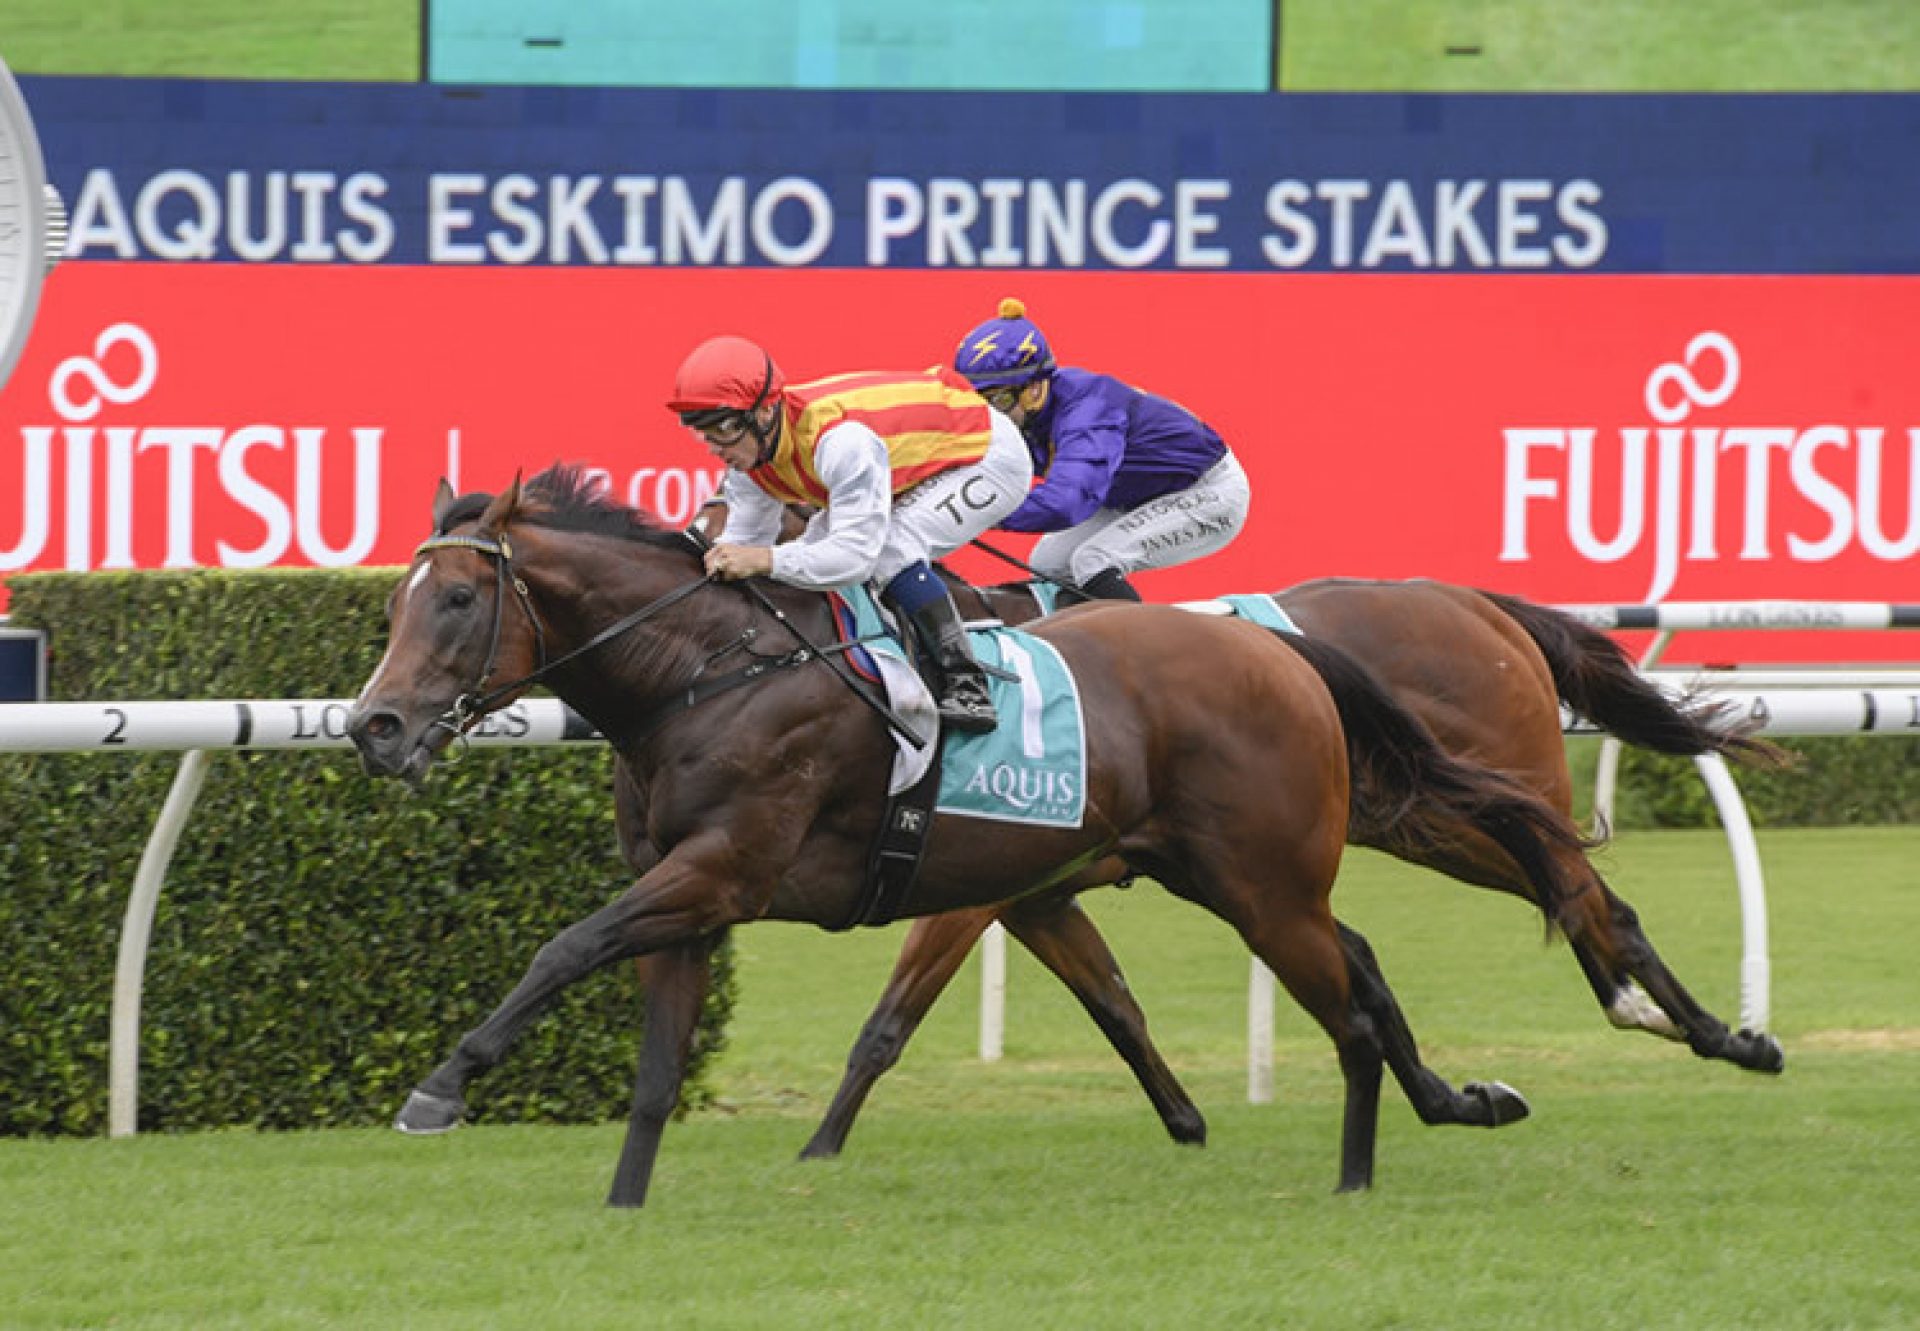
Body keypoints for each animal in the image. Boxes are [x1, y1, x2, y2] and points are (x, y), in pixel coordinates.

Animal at [349, 466, 1589, 1206]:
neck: (710, 673)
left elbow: (568, 945)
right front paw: (625, 1200)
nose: (375, 725)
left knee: (1424, 962)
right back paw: (1456, 1101)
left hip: (1285, 874)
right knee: (1362, 967)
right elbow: (655, 1062)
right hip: (1242, 875)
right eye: (394, 605)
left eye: (456, 601)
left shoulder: (739, 870)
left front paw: (439, 1088)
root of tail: (1279, 650)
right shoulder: (703, 891)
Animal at [787, 576, 1774, 1160]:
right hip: (1433, 818)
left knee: (1587, 898)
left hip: (1467, 803)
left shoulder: (981, 886)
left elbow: (891, 1021)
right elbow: (1119, 1004)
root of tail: (1471, 601)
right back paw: (1683, 1022)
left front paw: (822, 1146)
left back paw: (1719, 1032)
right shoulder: (1038, 899)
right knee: (1576, 897)